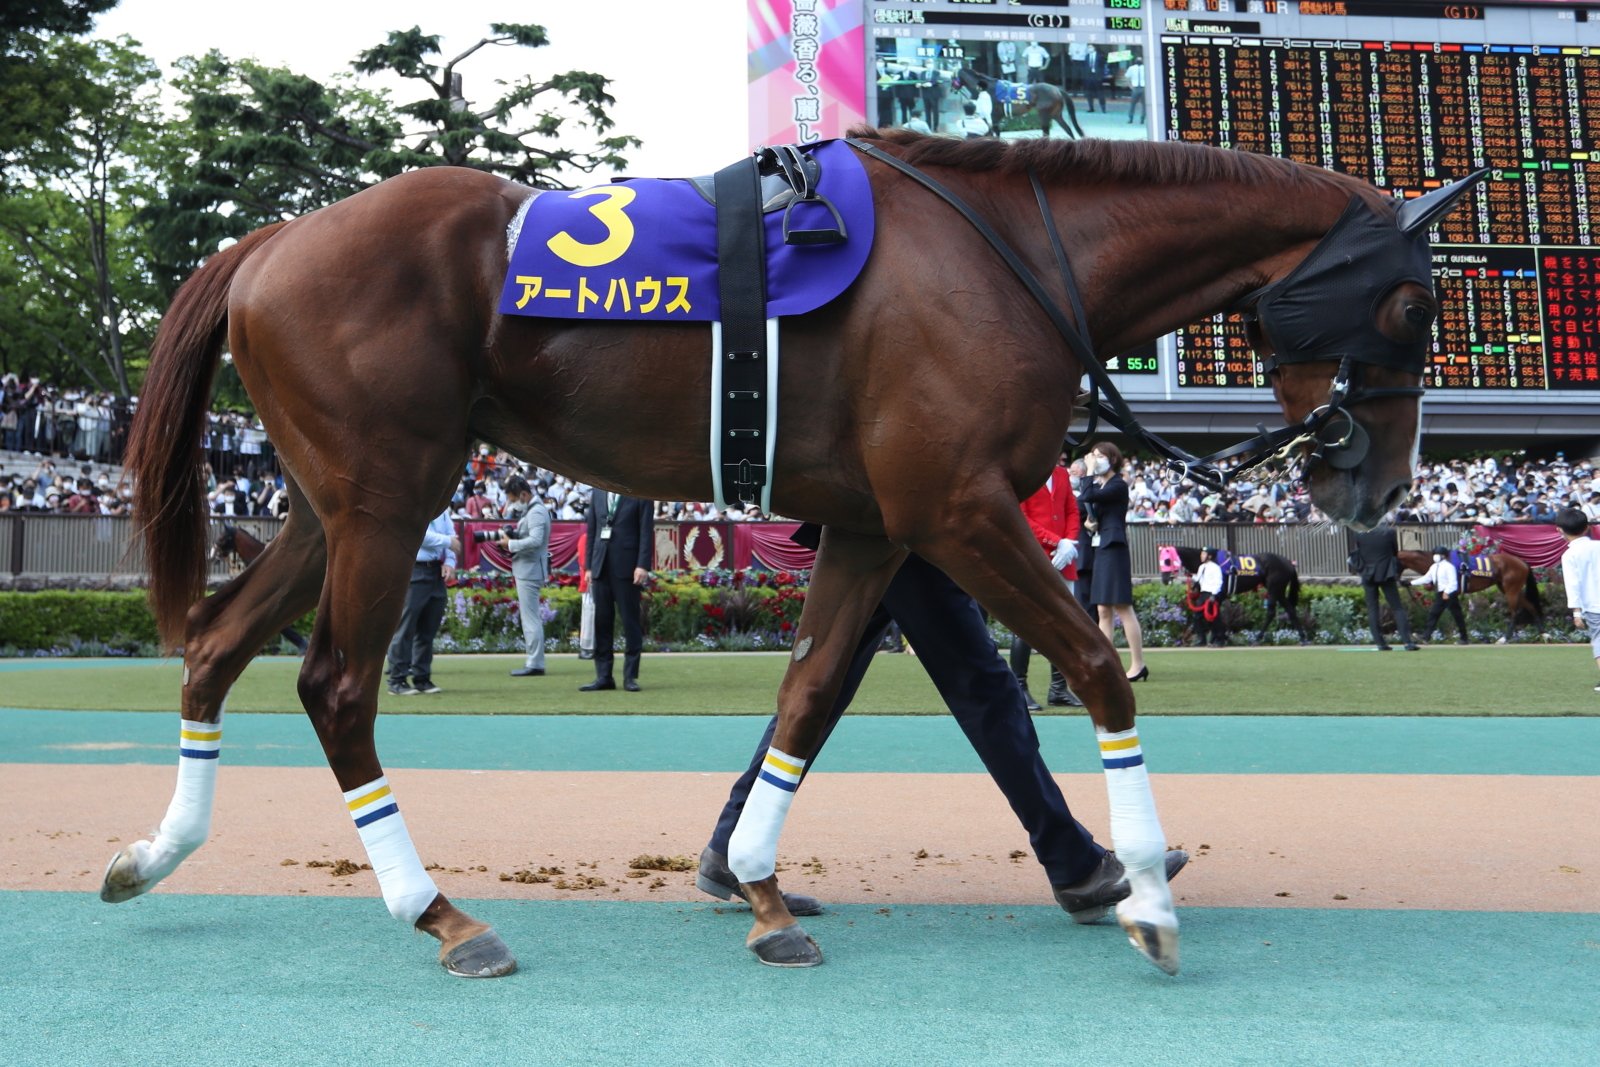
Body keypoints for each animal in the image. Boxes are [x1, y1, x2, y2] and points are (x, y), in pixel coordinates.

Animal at [956, 67, 1084, 139]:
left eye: (954, 76)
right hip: (1056, 114)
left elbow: (994, 134)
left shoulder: (994, 116)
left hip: (1044, 114)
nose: (954, 87)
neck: (985, 89)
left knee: (1046, 133)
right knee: (1068, 129)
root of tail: (1057, 89)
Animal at [1159, 544, 1310, 644]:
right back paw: (1302, 638)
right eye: (1160, 561)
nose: (1165, 579)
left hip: (1274, 588)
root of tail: (1288, 562)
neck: (1211, 562)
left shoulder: (1219, 594)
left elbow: (1212, 614)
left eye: (1167, 560)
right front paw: (1217, 638)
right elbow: (1209, 613)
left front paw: (1220, 638)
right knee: (1290, 609)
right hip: (1279, 590)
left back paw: (1257, 638)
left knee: (1271, 612)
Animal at [1397, 549, 1544, 642]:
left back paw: (1504, 638)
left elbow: (1444, 612)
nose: (1397, 580)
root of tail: (1523, 562)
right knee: (1531, 607)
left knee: (1514, 613)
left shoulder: (1451, 592)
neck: (1437, 562)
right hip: (1508, 589)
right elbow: (1445, 613)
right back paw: (1543, 634)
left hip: (1511, 590)